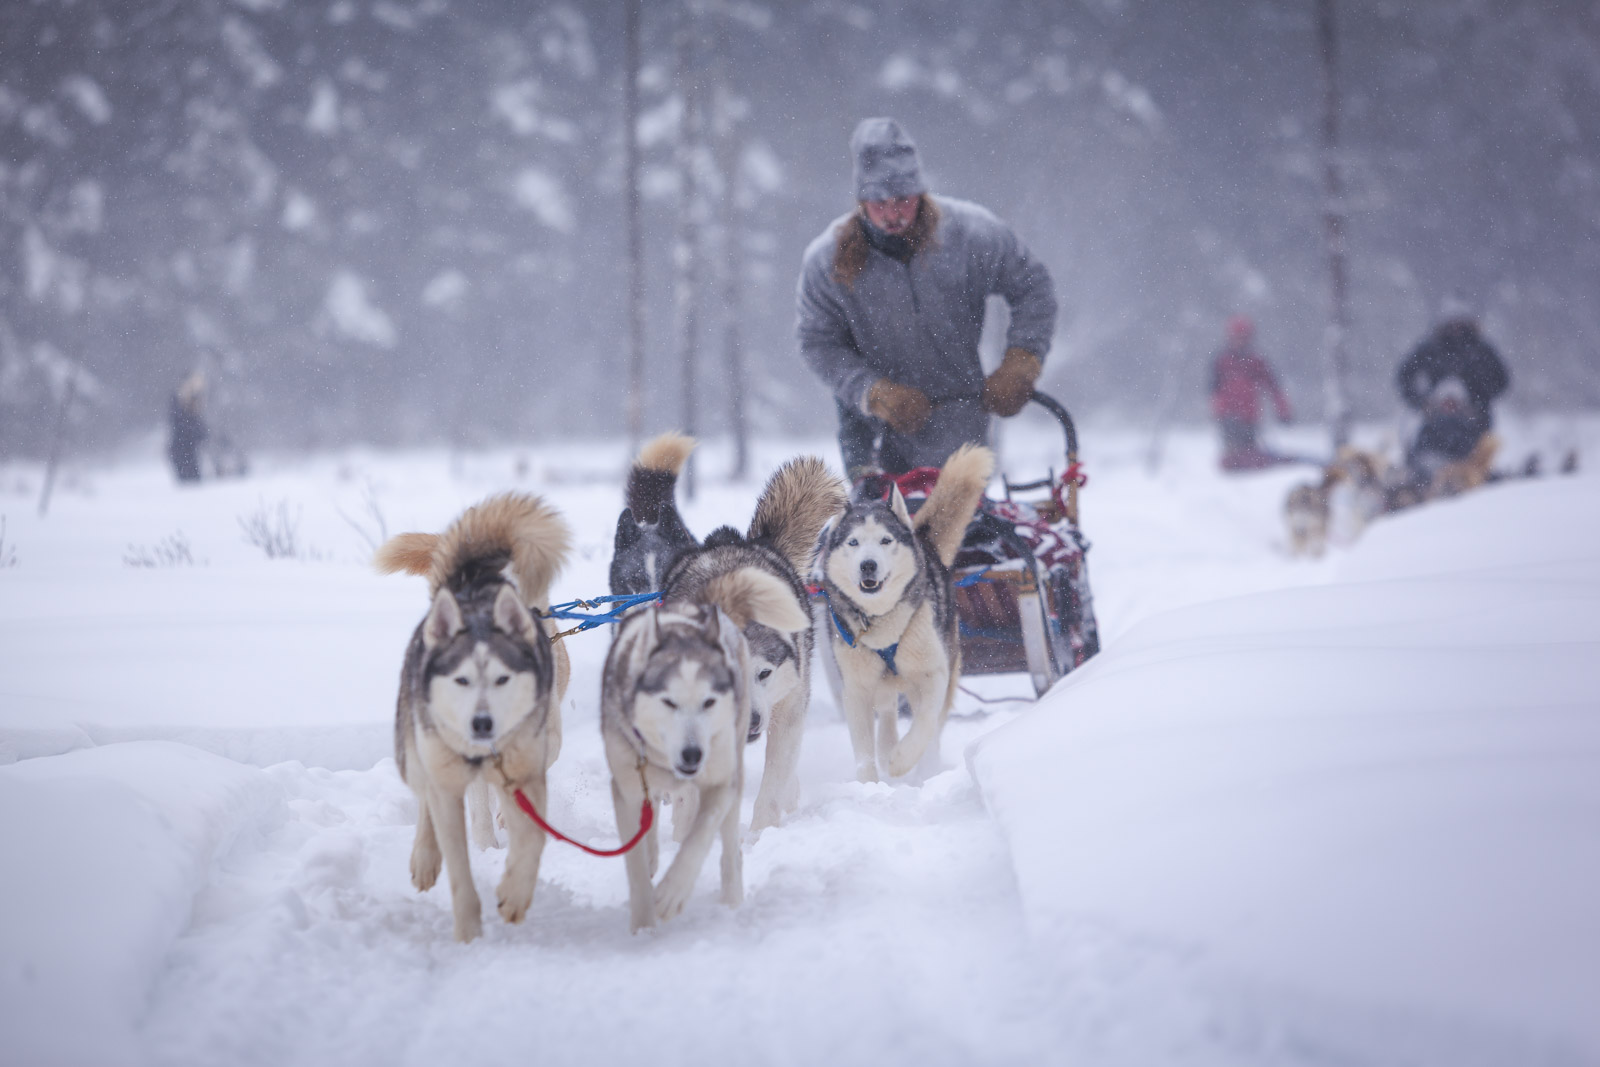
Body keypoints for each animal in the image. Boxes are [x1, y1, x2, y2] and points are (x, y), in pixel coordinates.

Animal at [601, 566, 806, 927]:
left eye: (764, 673)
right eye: (667, 702)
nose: (750, 719)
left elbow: (703, 835)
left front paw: (672, 892)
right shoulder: (628, 786)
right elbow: (640, 856)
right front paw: (644, 919)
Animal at [819, 444, 992, 783]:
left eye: (886, 540)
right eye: (853, 542)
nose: (868, 565)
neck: (880, 621)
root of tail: (923, 541)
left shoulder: (933, 674)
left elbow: (924, 723)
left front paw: (902, 760)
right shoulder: (856, 689)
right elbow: (864, 752)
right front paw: (870, 785)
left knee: (932, 729)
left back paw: (921, 768)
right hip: (883, 686)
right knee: (887, 715)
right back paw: (888, 750)